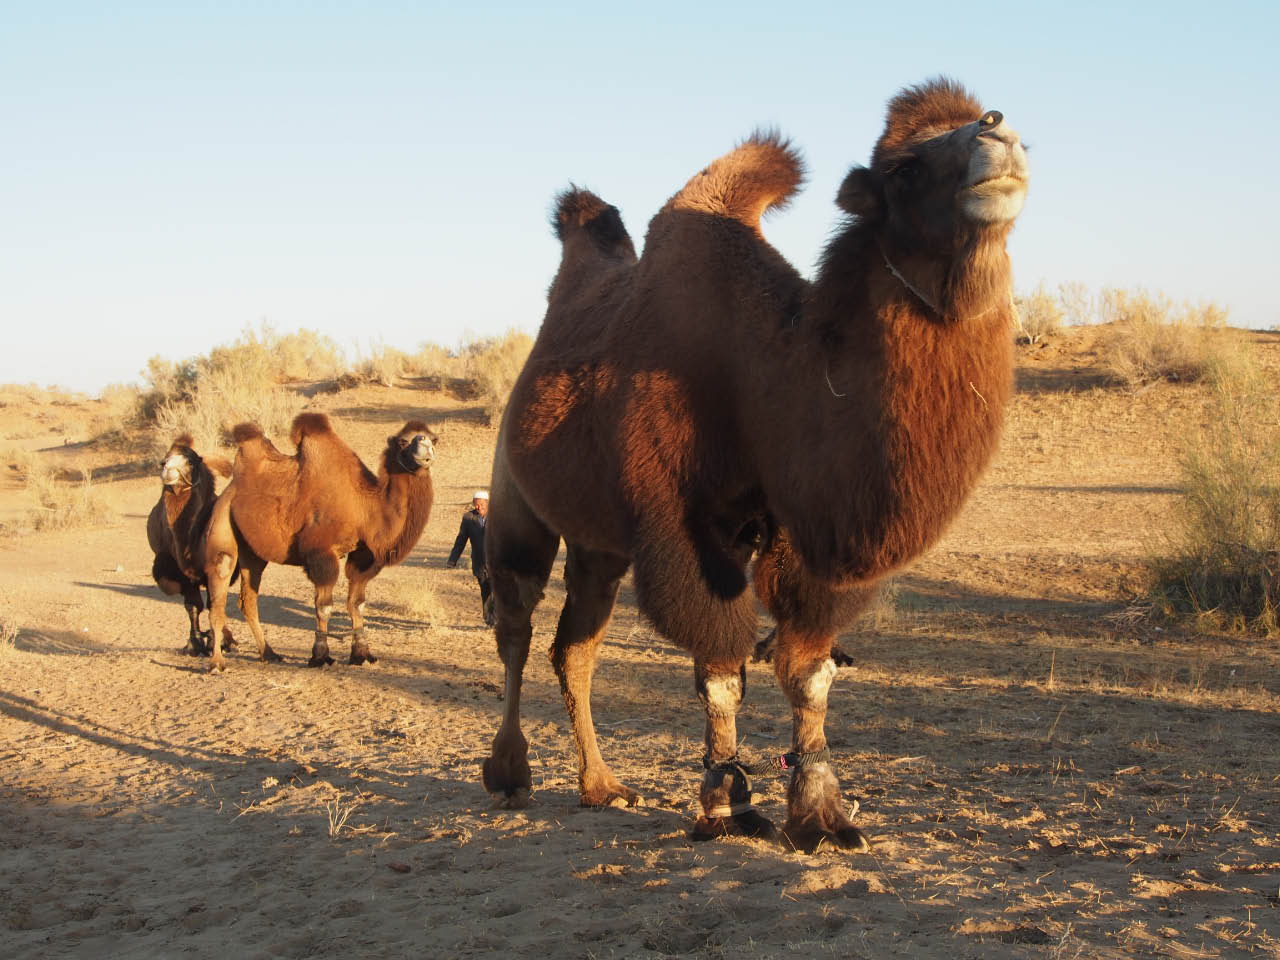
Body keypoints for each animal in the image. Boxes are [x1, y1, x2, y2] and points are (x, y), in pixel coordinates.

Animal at [146, 437, 236, 660]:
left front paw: (219, 641)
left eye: (190, 461)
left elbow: (213, 602)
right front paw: (194, 643)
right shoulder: (181, 573)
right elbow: (193, 606)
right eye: (165, 459)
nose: (166, 467)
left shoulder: (214, 566)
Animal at [202, 414, 437, 675]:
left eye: (434, 437)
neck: (364, 507)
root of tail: (230, 489)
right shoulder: (321, 554)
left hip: (253, 552)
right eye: (404, 441)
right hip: (222, 527)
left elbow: (357, 604)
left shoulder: (362, 554)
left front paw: (362, 654)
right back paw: (217, 663)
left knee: (248, 600)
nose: (426, 444)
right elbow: (324, 606)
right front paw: (320, 656)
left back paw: (269, 653)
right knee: (218, 597)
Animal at [481, 79, 1029, 855]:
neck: (769, 378)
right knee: (517, 625)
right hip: (515, 498)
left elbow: (807, 671)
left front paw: (822, 815)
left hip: (599, 545)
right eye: (903, 169)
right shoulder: (686, 527)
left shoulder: (801, 533)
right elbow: (720, 670)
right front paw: (724, 806)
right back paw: (510, 775)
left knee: (574, 648)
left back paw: (602, 785)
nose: (996, 133)